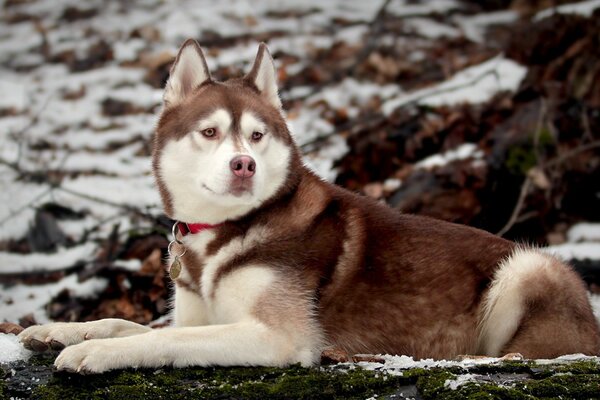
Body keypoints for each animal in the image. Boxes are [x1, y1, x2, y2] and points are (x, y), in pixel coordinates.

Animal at [18, 39, 600, 374]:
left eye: (256, 135)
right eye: (210, 132)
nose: (245, 165)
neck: (224, 234)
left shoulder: (278, 335)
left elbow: (165, 341)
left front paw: (95, 353)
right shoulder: (195, 309)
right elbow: (130, 323)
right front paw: (63, 330)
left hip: (529, 266)